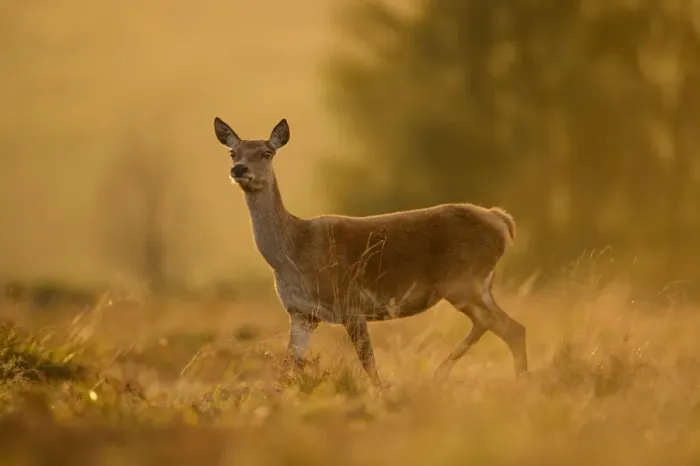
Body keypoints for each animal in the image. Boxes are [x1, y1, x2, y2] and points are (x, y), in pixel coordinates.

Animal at [213, 116, 527, 387]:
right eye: (233, 153)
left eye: (267, 152)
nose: (239, 170)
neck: (293, 250)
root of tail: (502, 220)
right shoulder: (302, 314)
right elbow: (288, 365)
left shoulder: (350, 303)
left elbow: (369, 363)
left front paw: (383, 394)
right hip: (477, 284)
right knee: (504, 326)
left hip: (464, 280)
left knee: (507, 327)